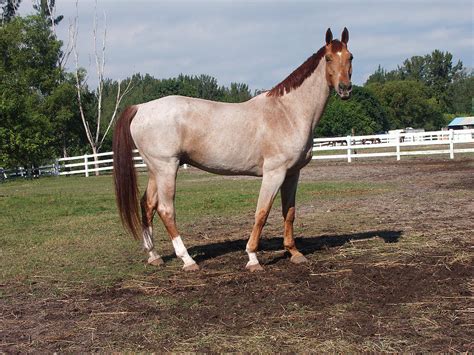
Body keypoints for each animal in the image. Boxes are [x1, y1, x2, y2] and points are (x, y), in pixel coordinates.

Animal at [114, 27, 352, 272]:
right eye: (328, 58)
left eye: (350, 57)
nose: (345, 89)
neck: (287, 112)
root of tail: (141, 107)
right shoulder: (274, 173)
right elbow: (262, 213)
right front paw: (253, 257)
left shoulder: (292, 174)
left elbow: (289, 212)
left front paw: (294, 252)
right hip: (166, 168)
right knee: (165, 210)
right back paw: (188, 260)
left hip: (156, 170)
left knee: (148, 205)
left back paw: (154, 255)